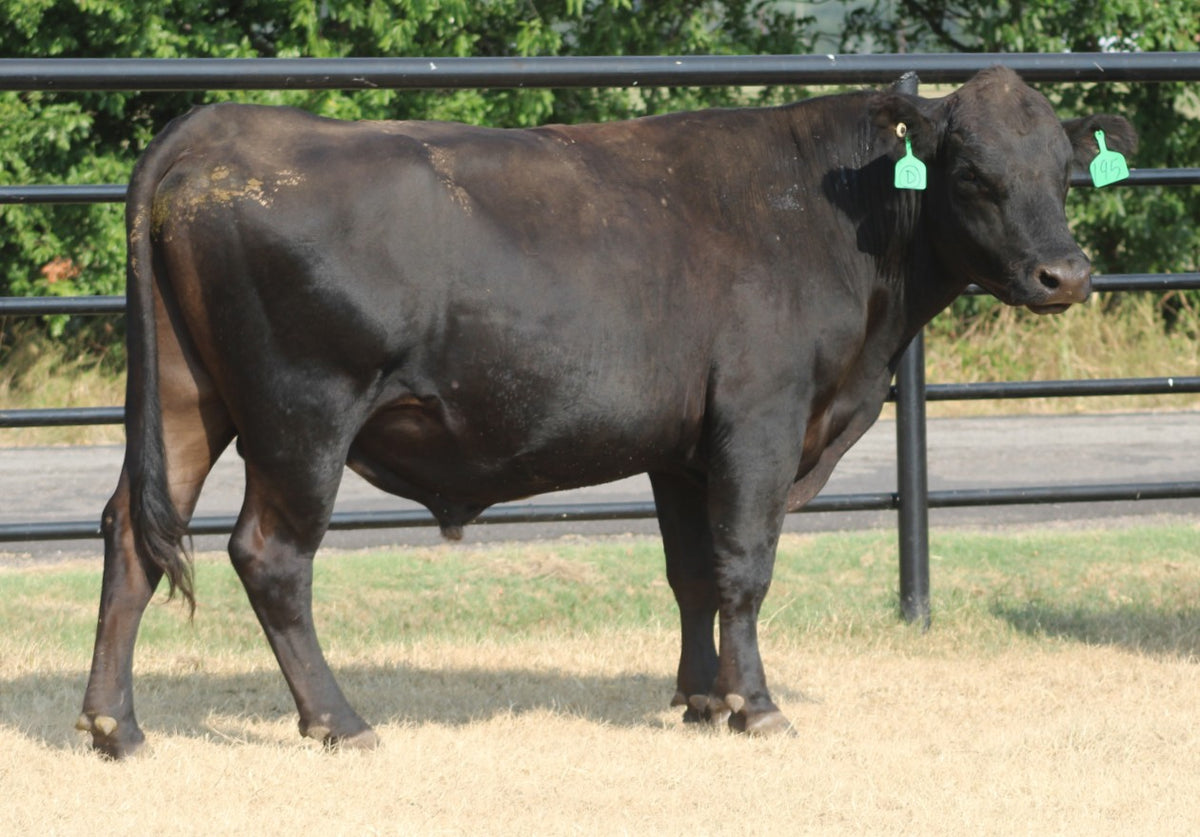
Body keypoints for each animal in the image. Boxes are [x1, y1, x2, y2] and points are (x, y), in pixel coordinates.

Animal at [77, 66, 1135, 758]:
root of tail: (218, 128)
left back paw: (114, 726)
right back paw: (338, 719)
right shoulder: (759, 420)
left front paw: (701, 698)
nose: (1066, 273)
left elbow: (692, 573)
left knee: (132, 532)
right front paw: (756, 705)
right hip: (303, 414)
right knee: (270, 556)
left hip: (187, 401)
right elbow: (745, 568)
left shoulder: (684, 446)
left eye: (1062, 170)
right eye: (972, 172)